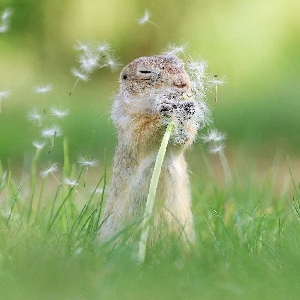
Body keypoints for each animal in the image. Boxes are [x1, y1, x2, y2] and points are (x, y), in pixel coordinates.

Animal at [99, 55, 202, 247]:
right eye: (145, 72)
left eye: (181, 65)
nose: (182, 83)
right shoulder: (128, 122)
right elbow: (143, 132)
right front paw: (165, 111)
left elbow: (186, 137)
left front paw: (187, 110)